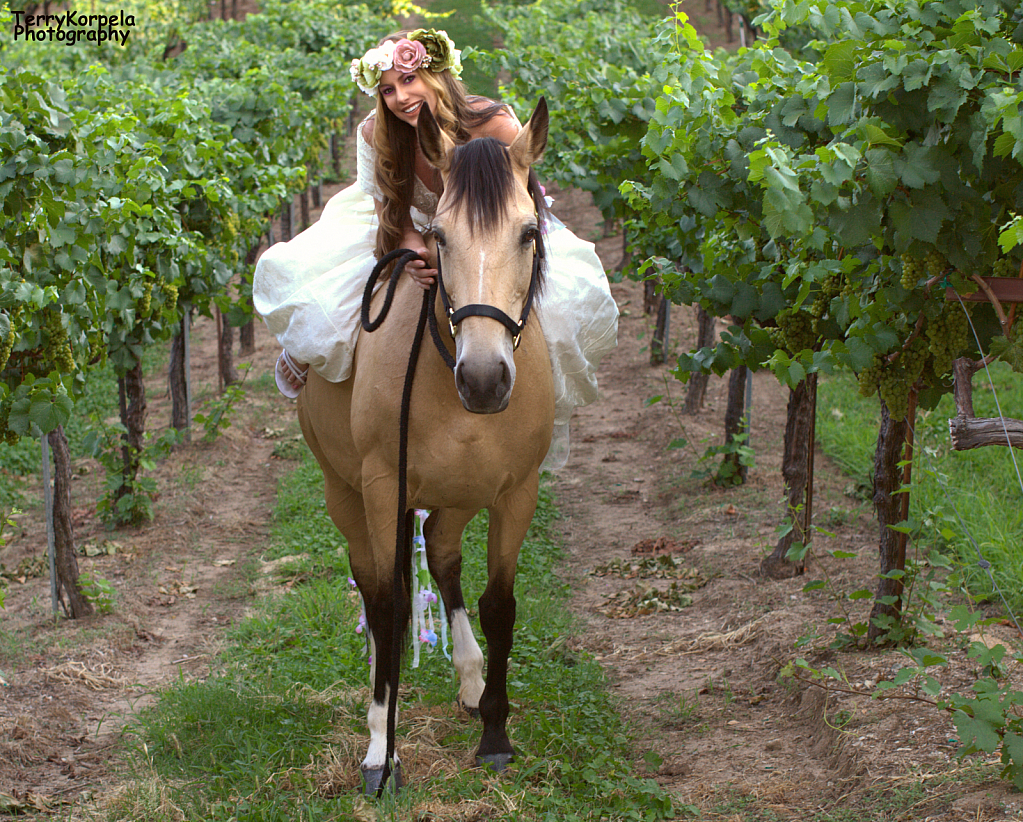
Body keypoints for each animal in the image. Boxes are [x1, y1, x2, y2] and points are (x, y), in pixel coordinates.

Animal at [296, 99, 552, 793]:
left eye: (528, 232)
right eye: (437, 236)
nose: (485, 379)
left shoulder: (516, 492)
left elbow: (499, 605)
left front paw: (495, 733)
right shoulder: (384, 486)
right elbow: (386, 605)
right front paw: (381, 750)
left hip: (458, 492)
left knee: (440, 550)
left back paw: (469, 678)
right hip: (344, 490)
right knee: (372, 580)